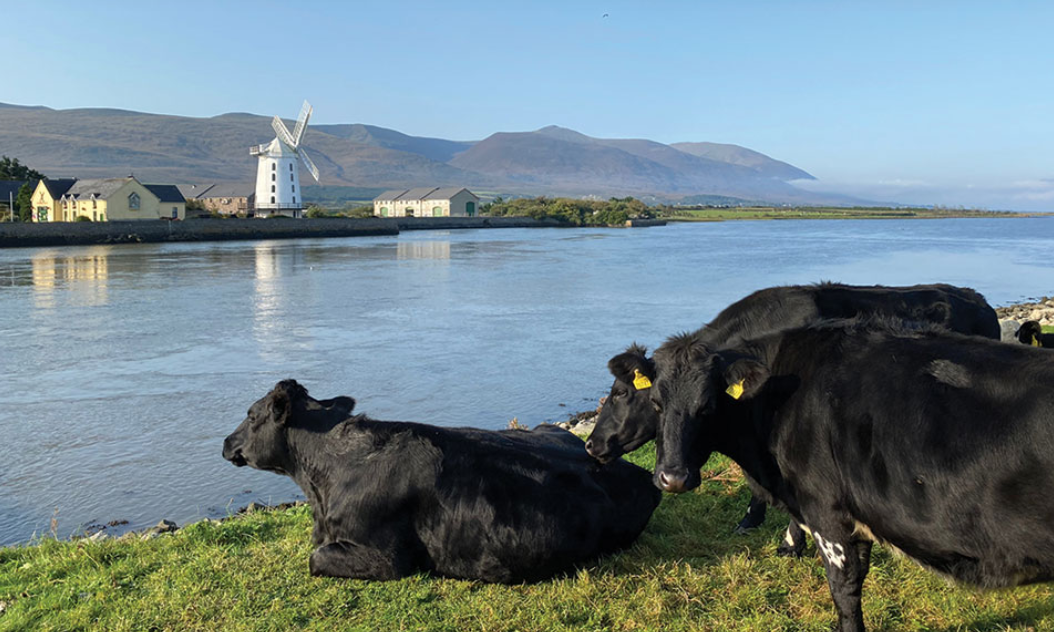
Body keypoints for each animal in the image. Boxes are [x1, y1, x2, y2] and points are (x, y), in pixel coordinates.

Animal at [585, 282, 999, 551]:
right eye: (656, 401)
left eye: (621, 392)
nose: (591, 444)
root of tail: (978, 299)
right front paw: (750, 522)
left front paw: (789, 542)